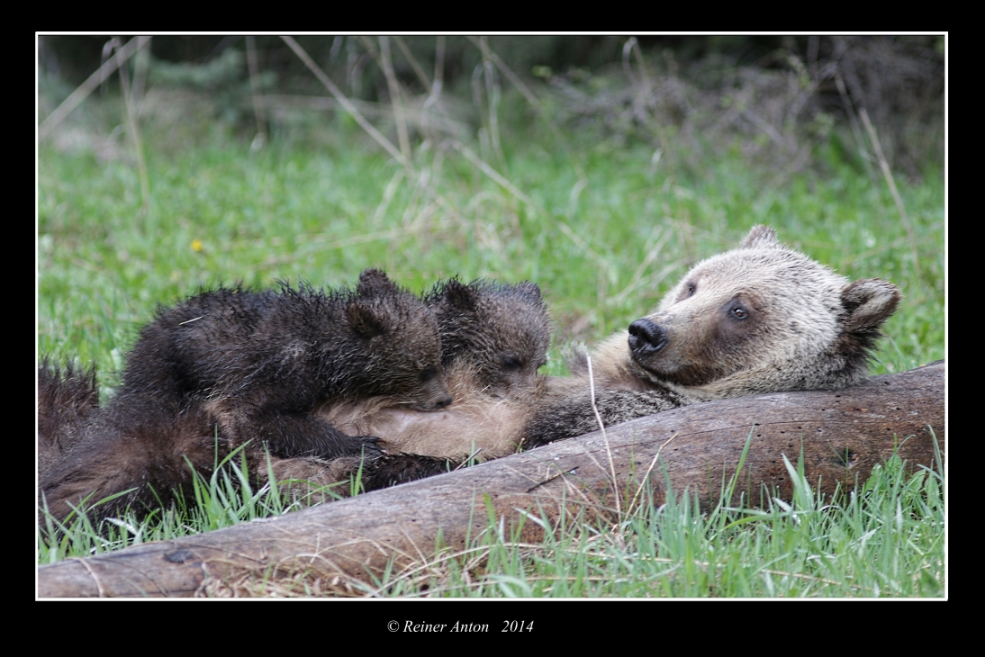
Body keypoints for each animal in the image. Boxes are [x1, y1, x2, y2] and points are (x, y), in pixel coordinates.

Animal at [39, 269, 453, 526]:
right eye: (423, 368)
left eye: (437, 356)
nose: (445, 400)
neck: (329, 354)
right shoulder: (282, 370)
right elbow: (261, 417)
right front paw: (361, 443)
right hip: (165, 365)